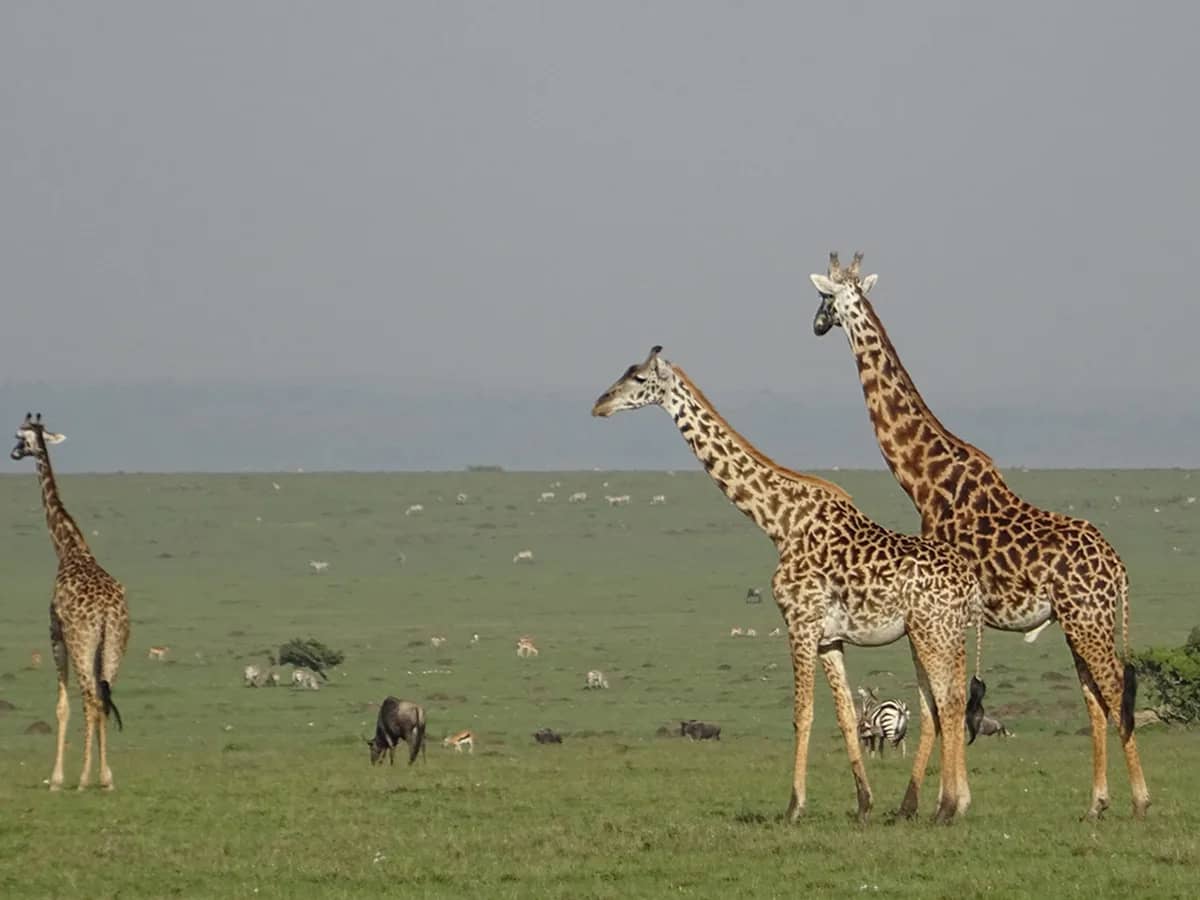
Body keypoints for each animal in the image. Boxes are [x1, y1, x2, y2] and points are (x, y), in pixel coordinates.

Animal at [11, 413, 130, 791]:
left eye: (21, 436)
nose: (13, 453)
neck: (69, 547)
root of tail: (106, 612)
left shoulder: (56, 635)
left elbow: (62, 705)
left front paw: (56, 778)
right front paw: (102, 775)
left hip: (81, 642)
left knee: (91, 698)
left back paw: (82, 778)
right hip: (115, 644)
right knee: (104, 696)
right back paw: (105, 778)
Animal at [593, 347, 984, 823]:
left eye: (638, 378)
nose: (600, 404)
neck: (779, 523)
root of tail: (970, 583)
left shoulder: (799, 622)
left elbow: (803, 713)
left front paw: (794, 806)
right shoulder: (828, 637)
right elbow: (844, 713)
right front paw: (864, 803)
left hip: (933, 631)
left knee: (948, 702)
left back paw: (948, 806)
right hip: (933, 634)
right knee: (938, 704)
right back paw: (937, 804)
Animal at [809, 252, 1151, 820]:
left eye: (824, 298)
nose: (815, 324)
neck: (923, 481)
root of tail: (1119, 568)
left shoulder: (942, 609)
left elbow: (937, 702)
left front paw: (932, 804)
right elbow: (940, 700)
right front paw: (930, 802)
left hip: (1088, 618)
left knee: (1114, 687)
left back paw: (1141, 800)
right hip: (1080, 621)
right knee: (1094, 698)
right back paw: (1097, 803)